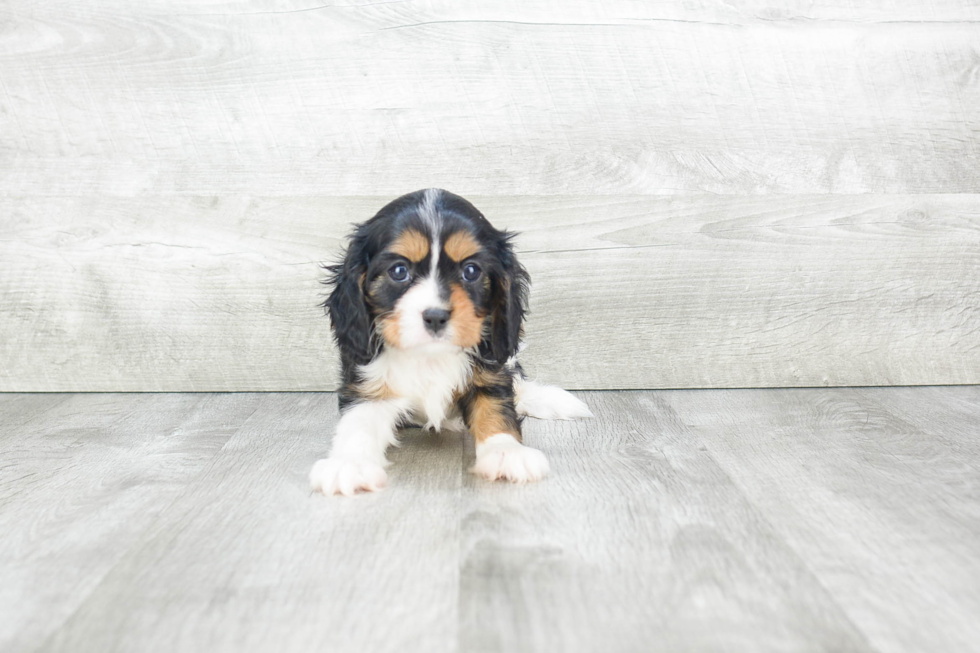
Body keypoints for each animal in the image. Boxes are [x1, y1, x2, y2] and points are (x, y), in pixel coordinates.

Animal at [310, 188, 592, 494]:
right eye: (399, 271)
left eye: (471, 271)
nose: (435, 316)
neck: (429, 356)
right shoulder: (366, 382)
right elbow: (358, 422)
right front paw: (348, 464)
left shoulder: (491, 371)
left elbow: (496, 410)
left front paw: (506, 452)